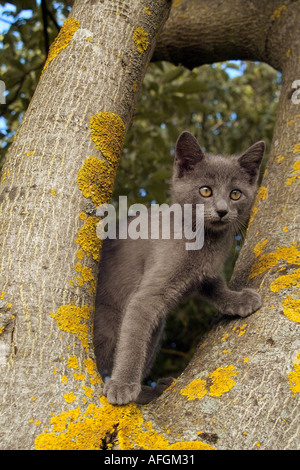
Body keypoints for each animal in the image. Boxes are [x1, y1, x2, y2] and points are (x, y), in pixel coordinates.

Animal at [94, 131, 264, 404]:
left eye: (235, 194)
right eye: (205, 190)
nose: (222, 210)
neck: (205, 241)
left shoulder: (205, 272)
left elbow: (215, 286)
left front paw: (237, 300)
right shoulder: (146, 296)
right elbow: (132, 345)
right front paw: (122, 385)